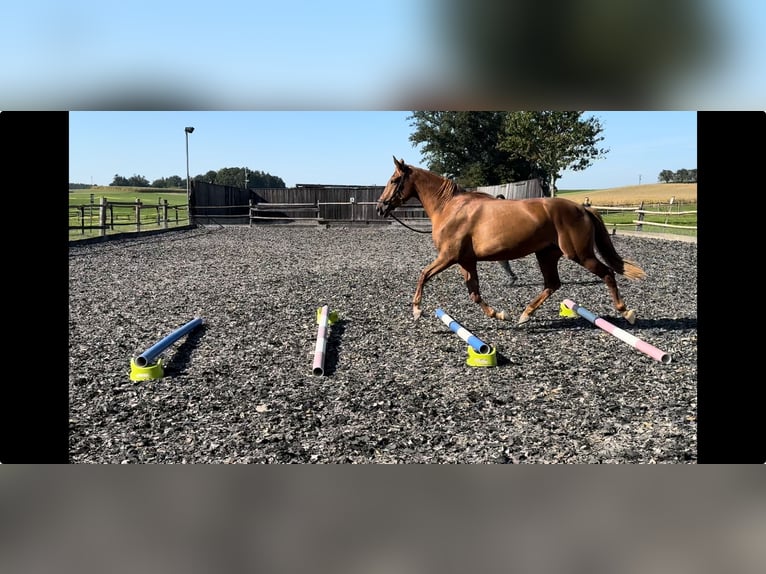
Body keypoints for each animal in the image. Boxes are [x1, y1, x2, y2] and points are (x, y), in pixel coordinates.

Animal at [378, 158, 648, 326]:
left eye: (394, 180)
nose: (381, 207)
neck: (450, 208)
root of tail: (581, 208)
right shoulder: (466, 261)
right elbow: (474, 293)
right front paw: (499, 314)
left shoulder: (448, 257)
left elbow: (423, 274)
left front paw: (416, 309)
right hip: (546, 254)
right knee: (552, 284)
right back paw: (525, 314)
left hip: (580, 255)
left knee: (607, 274)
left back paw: (627, 312)